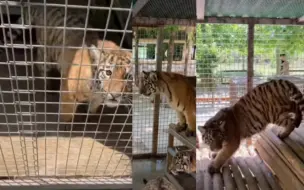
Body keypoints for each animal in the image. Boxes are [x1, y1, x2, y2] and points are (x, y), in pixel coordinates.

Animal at [3, 5, 132, 122]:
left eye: (128, 76)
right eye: (108, 72)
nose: (115, 95)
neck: (97, 89)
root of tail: (43, 7)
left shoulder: (98, 98)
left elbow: (93, 107)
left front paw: (90, 116)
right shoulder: (68, 93)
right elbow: (67, 112)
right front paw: (65, 126)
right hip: (46, 55)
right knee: (40, 65)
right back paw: (49, 87)